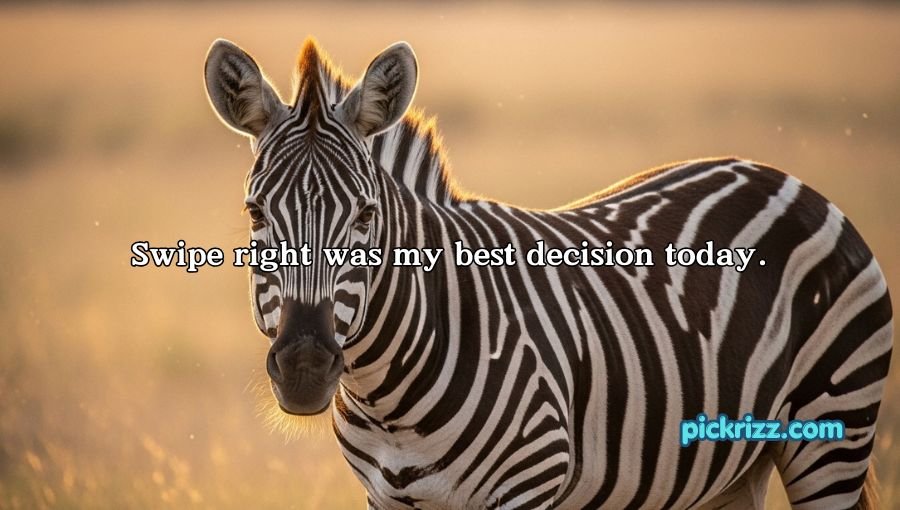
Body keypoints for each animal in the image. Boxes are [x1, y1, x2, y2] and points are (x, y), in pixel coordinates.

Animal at [204, 37, 893, 509]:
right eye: (255, 212)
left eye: (367, 216)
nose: (305, 367)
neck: (388, 398)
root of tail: (780, 176)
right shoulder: (386, 497)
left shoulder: (531, 482)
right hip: (730, 468)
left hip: (832, 431)